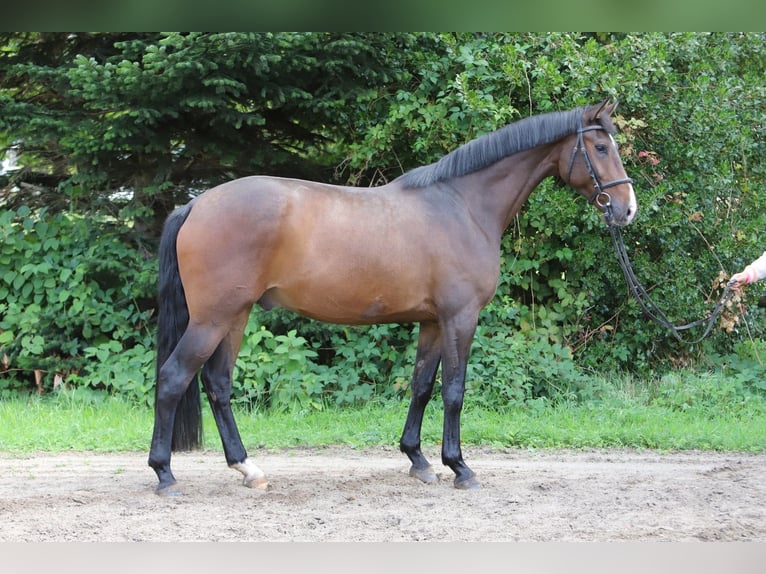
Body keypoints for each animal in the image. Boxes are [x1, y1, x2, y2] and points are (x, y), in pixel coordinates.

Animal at [148, 100, 636, 493]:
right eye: (600, 148)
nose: (627, 209)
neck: (462, 205)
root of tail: (196, 204)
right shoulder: (460, 317)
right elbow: (453, 390)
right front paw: (460, 467)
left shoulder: (433, 320)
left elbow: (421, 387)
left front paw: (418, 460)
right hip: (213, 318)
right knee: (174, 378)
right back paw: (165, 474)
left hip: (235, 315)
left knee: (218, 385)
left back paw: (247, 469)